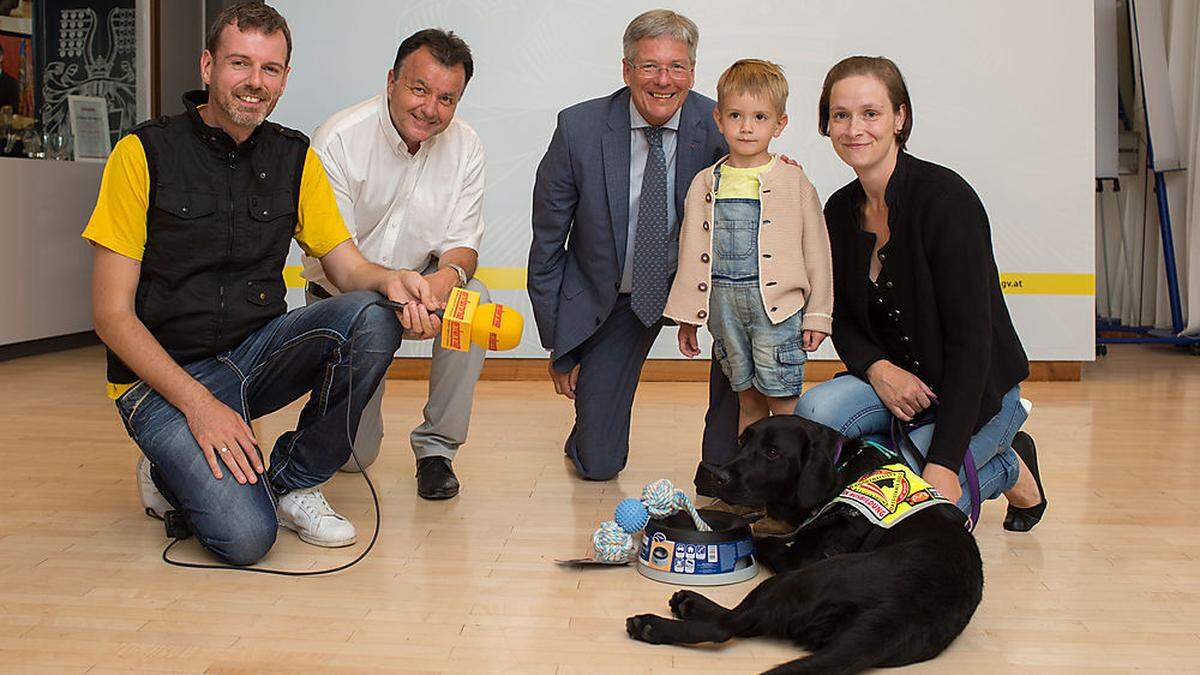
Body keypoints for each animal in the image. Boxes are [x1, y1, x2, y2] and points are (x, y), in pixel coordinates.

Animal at [624, 413, 979, 667]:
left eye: (772, 453)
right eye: (741, 442)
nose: (718, 476)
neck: (841, 470)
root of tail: (895, 616)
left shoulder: (802, 558)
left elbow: (760, 537)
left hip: (802, 578)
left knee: (729, 625)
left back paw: (661, 621)